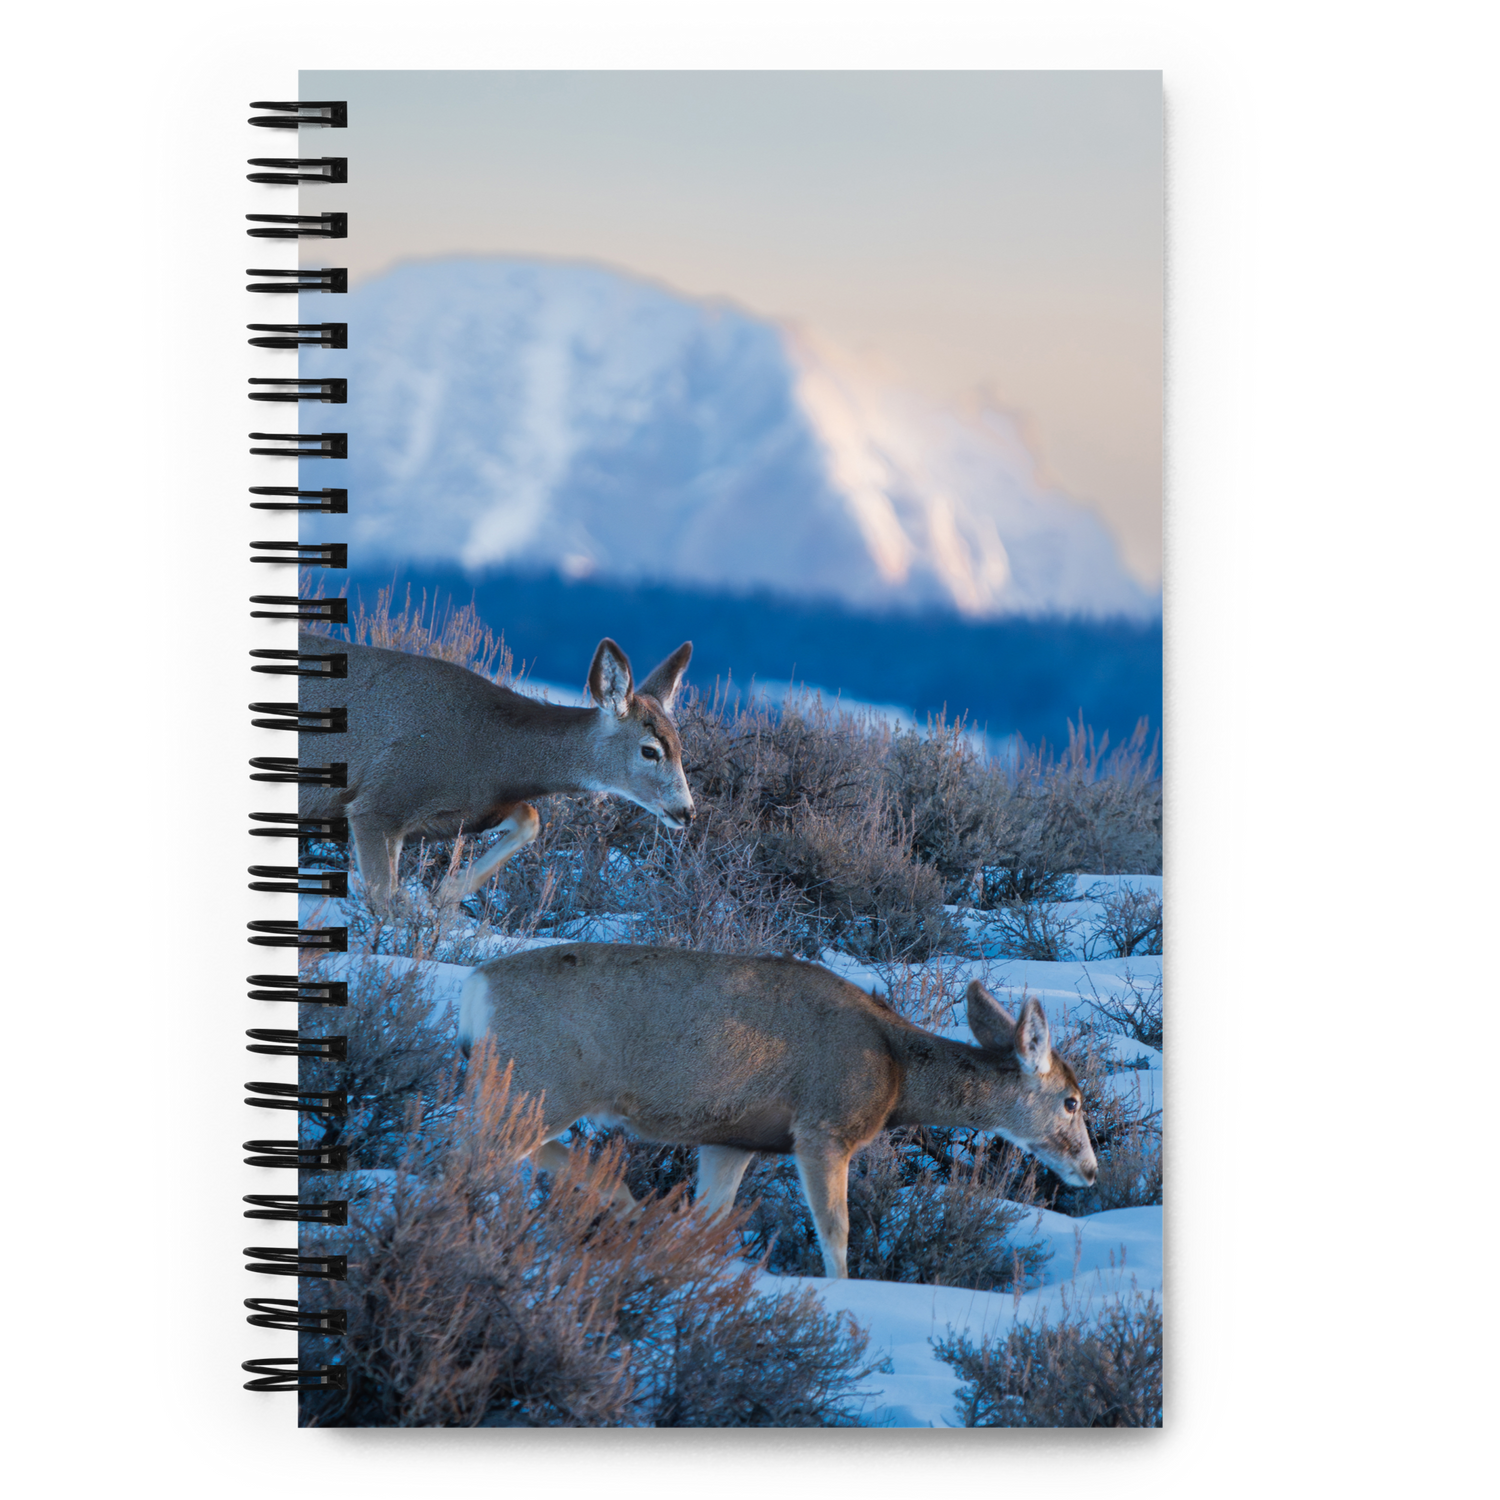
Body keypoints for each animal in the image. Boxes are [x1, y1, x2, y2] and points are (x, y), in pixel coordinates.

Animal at [295, 631, 695, 908]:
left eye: (681, 747)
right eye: (650, 751)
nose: (687, 812)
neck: (491, 753)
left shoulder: (475, 811)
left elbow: (531, 817)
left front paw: (447, 893)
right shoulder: (381, 803)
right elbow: (386, 902)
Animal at [457, 945, 1098, 1279]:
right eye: (1072, 1101)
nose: (1091, 1170)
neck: (895, 1071)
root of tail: (474, 990)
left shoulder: (731, 1139)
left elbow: (710, 1220)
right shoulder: (823, 1128)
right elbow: (836, 1232)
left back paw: (620, 1203)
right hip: (538, 1082)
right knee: (469, 1158)